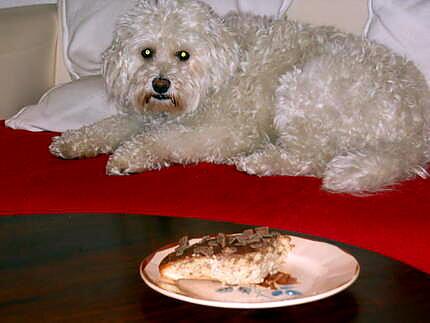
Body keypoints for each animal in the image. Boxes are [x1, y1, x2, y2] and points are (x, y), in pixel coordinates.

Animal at [50, 0, 430, 194]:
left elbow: (164, 139)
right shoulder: (144, 116)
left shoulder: (223, 131)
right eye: (147, 52)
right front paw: (71, 141)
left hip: (303, 86)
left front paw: (127, 157)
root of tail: (415, 135)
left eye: (183, 55)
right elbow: (108, 126)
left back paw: (258, 161)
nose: (160, 85)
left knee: (310, 158)